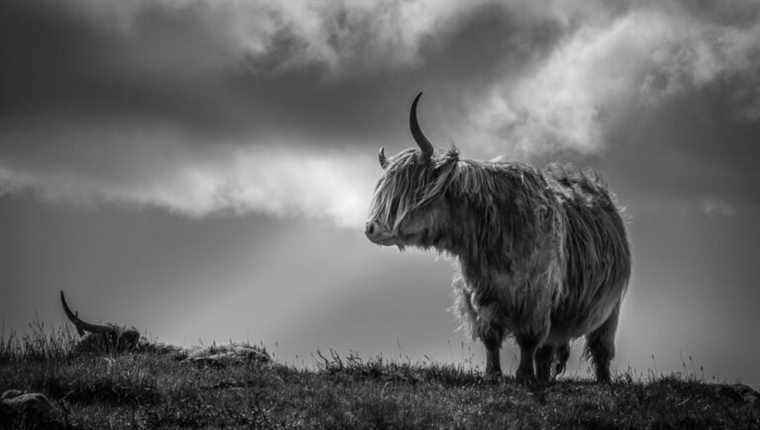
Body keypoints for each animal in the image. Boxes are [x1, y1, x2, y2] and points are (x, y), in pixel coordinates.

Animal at [366, 94, 632, 382]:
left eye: (408, 190)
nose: (371, 228)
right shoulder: (481, 295)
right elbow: (491, 337)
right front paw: (493, 374)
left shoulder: (536, 297)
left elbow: (528, 339)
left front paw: (523, 375)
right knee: (547, 351)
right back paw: (543, 378)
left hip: (611, 309)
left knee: (600, 347)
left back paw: (602, 380)